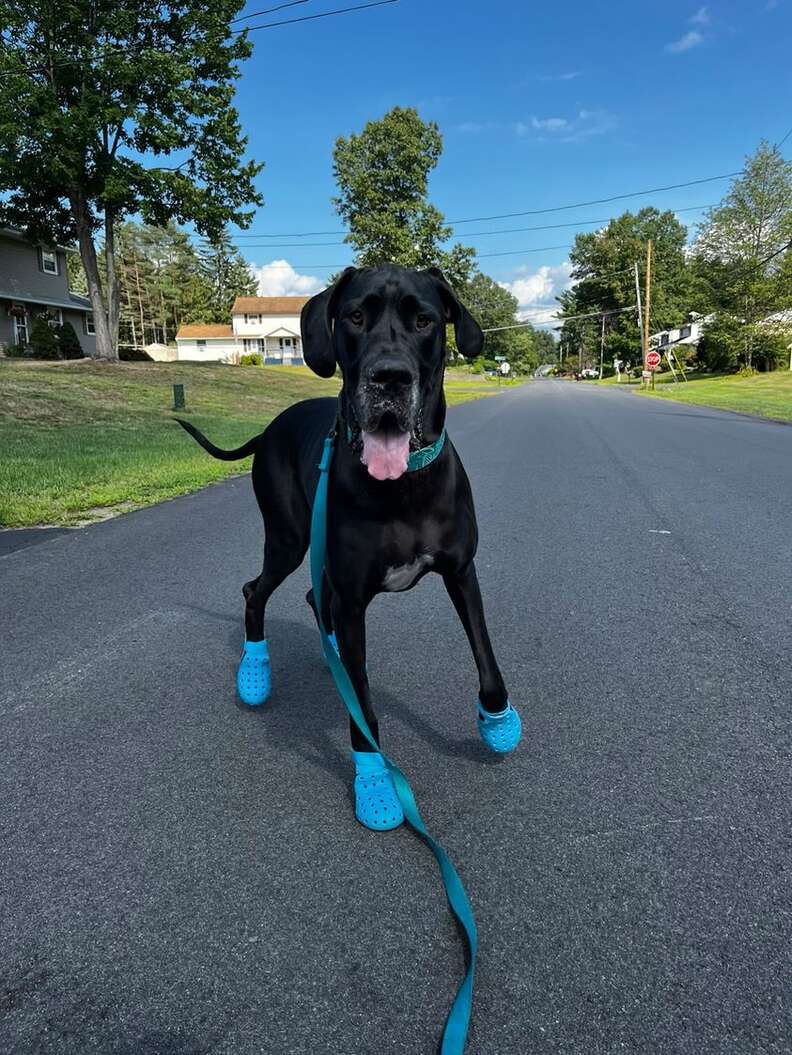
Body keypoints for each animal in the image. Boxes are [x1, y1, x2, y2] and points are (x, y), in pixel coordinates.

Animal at [179, 263, 520, 831]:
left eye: (425, 320)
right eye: (356, 317)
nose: (390, 378)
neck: (402, 485)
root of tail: (267, 429)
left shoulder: (461, 571)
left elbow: (485, 654)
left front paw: (496, 720)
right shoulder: (355, 598)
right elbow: (362, 709)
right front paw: (375, 782)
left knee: (316, 600)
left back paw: (331, 652)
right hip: (289, 539)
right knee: (255, 590)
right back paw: (257, 673)